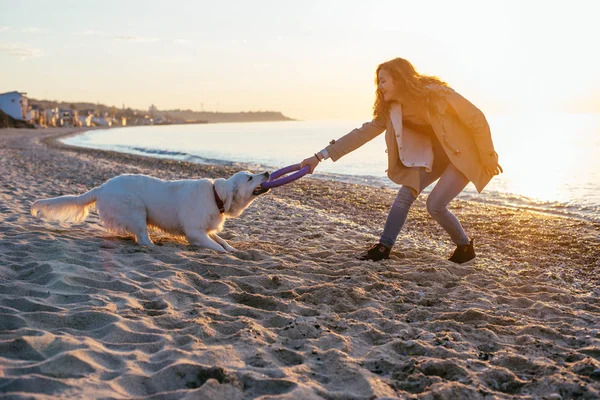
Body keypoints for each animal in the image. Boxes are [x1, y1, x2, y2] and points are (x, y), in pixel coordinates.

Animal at [29, 170, 270, 252]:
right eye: (249, 177)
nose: (267, 173)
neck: (216, 195)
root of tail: (102, 187)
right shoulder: (194, 232)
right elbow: (216, 247)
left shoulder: (206, 229)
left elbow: (222, 242)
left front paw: (233, 249)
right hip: (135, 208)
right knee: (142, 238)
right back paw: (153, 245)